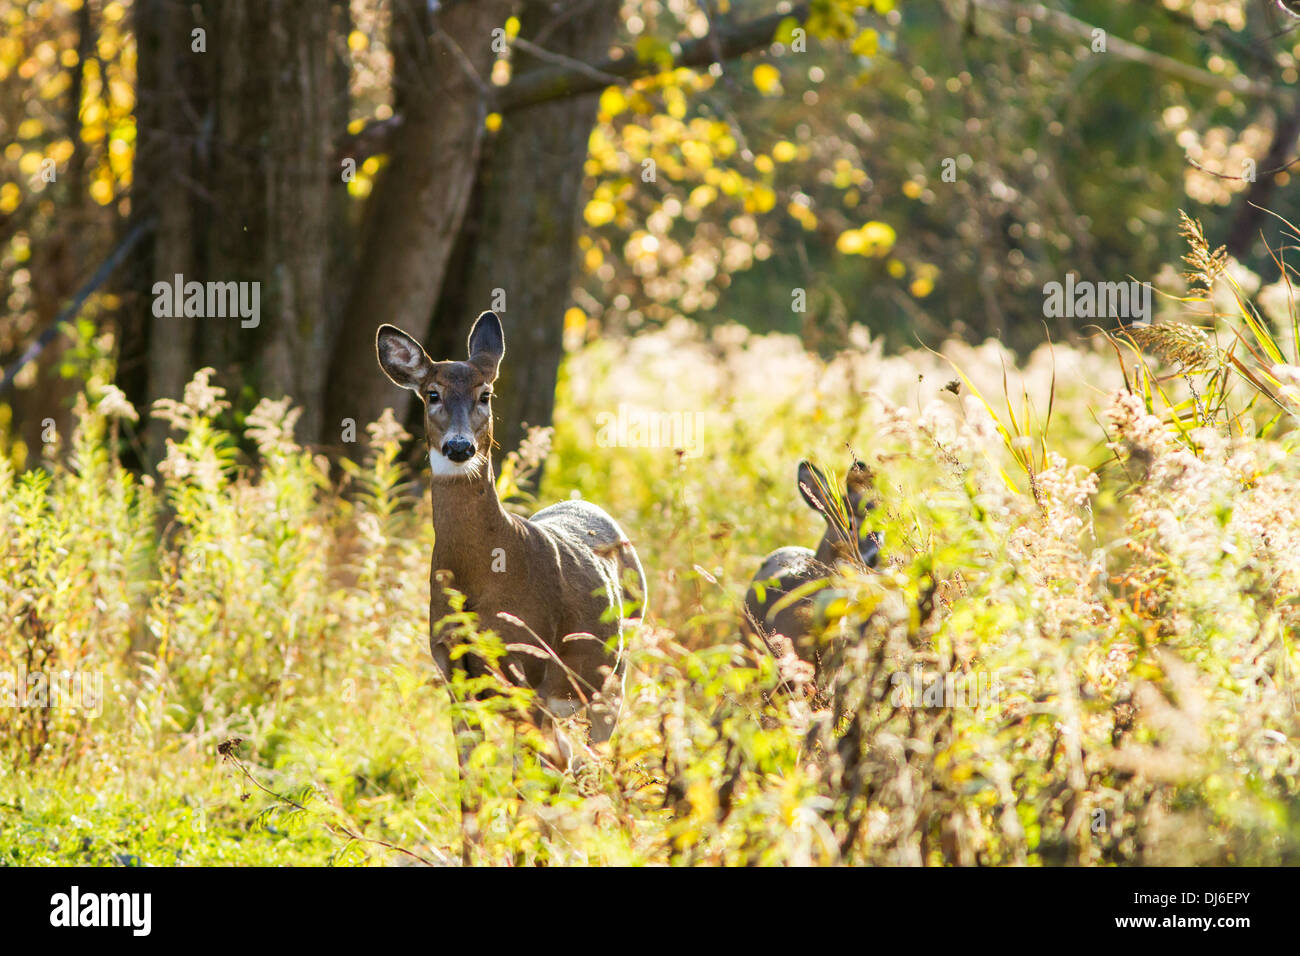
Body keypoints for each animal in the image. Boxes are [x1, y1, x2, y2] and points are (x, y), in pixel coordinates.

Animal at [376, 311, 646, 861]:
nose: (460, 447)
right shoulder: (455, 678)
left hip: (610, 680)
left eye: (486, 394)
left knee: (584, 770)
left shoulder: (532, 676)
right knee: (566, 770)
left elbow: (524, 798)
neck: (487, 577)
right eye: (432, 393)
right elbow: (471, 801)